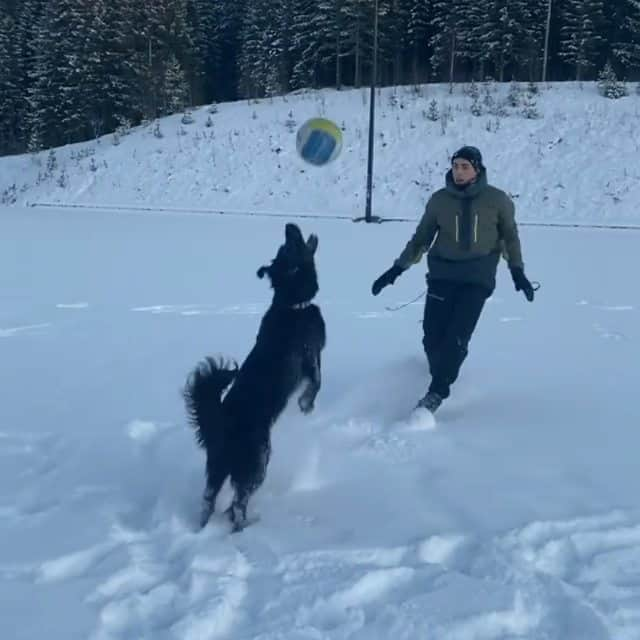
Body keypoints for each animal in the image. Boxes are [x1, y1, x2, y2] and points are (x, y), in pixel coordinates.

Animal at [184, 222, 324, 532]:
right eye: (290, 245)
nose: (289, 226)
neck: (291, 303)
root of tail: (220, 423)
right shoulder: (312, 355)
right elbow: (316, 384)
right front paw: (306, 405)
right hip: (258, 459)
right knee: (239, 502)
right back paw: (245, 526)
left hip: (217, 467)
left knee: (207, 500)